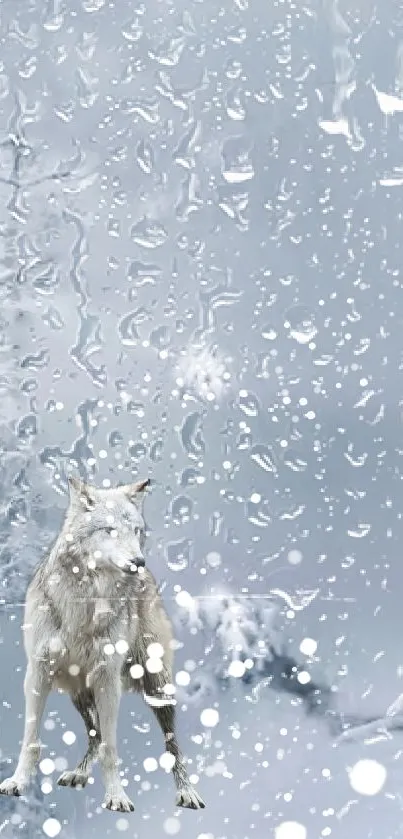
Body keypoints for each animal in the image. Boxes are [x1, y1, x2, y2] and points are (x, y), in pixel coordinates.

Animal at [0, 480, 207, 812]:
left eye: (135, 530)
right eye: (109, 530)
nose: (138, 562)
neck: (84, 604)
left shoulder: (107, 679)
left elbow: (111, 747)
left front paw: (116, 796)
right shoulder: (38, 673)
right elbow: (31, 740)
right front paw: (18, 782)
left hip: (156, 686)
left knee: (171, 743)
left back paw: (187, 791)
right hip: (80, 693)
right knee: (94, 735)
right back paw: (79, 773)